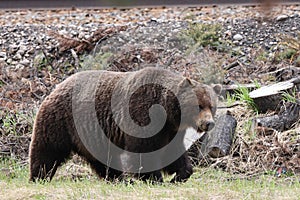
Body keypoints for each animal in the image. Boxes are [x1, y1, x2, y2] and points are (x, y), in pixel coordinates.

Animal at [29, 67, 219, 183]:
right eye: (199, 105)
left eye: (212, 106)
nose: (208, 123)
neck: (168, 113)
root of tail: (56, 86)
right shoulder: (143, 115)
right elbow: (143, 150)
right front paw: (155, 178)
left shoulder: (170, 130)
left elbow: (173, 152)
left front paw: (179, 175)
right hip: (61, 121)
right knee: (47, 150)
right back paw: (39, 176)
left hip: (93, 134)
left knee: (103, 159)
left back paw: (117, 178)